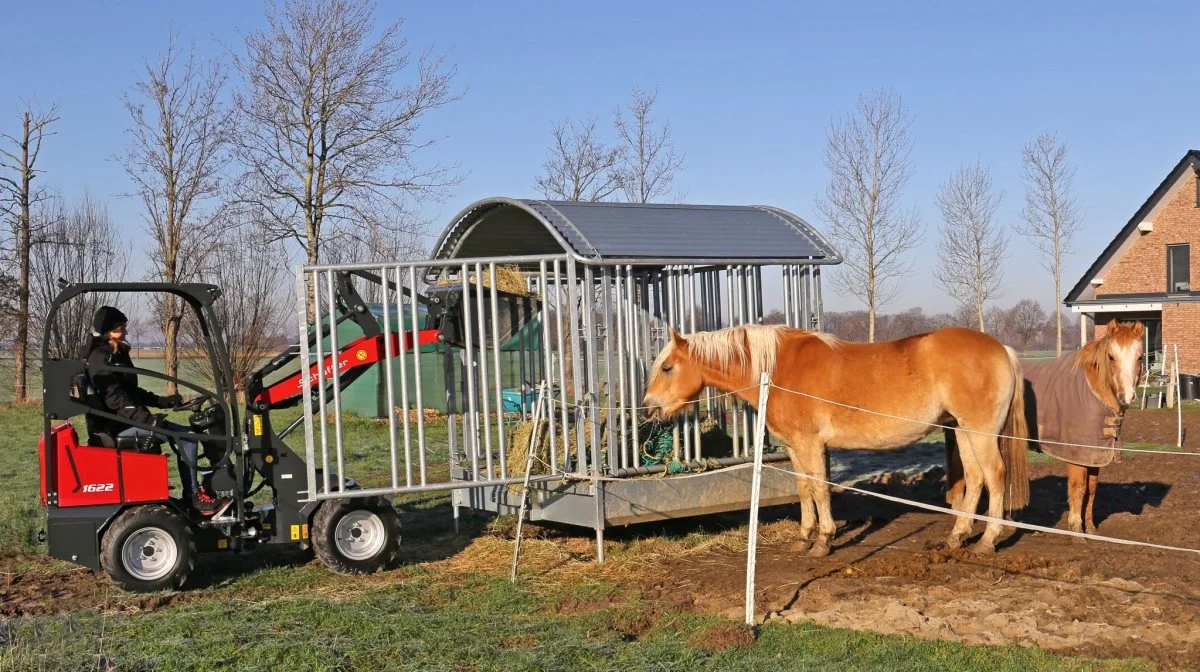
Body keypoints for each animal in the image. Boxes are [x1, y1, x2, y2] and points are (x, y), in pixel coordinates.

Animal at [643, 326, 1027, 556]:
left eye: (667, 368)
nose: (648, 409)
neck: (778, 370)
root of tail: (1003, 349)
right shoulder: (795, 448)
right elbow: (804, 489)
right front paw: (804, 536)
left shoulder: (810, 444)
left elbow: (820, 487)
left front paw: (824, 540)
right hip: (962, 430)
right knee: (976, 478)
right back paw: (957, 536)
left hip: (981, 432)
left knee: (995, 475)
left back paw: (988, 540)